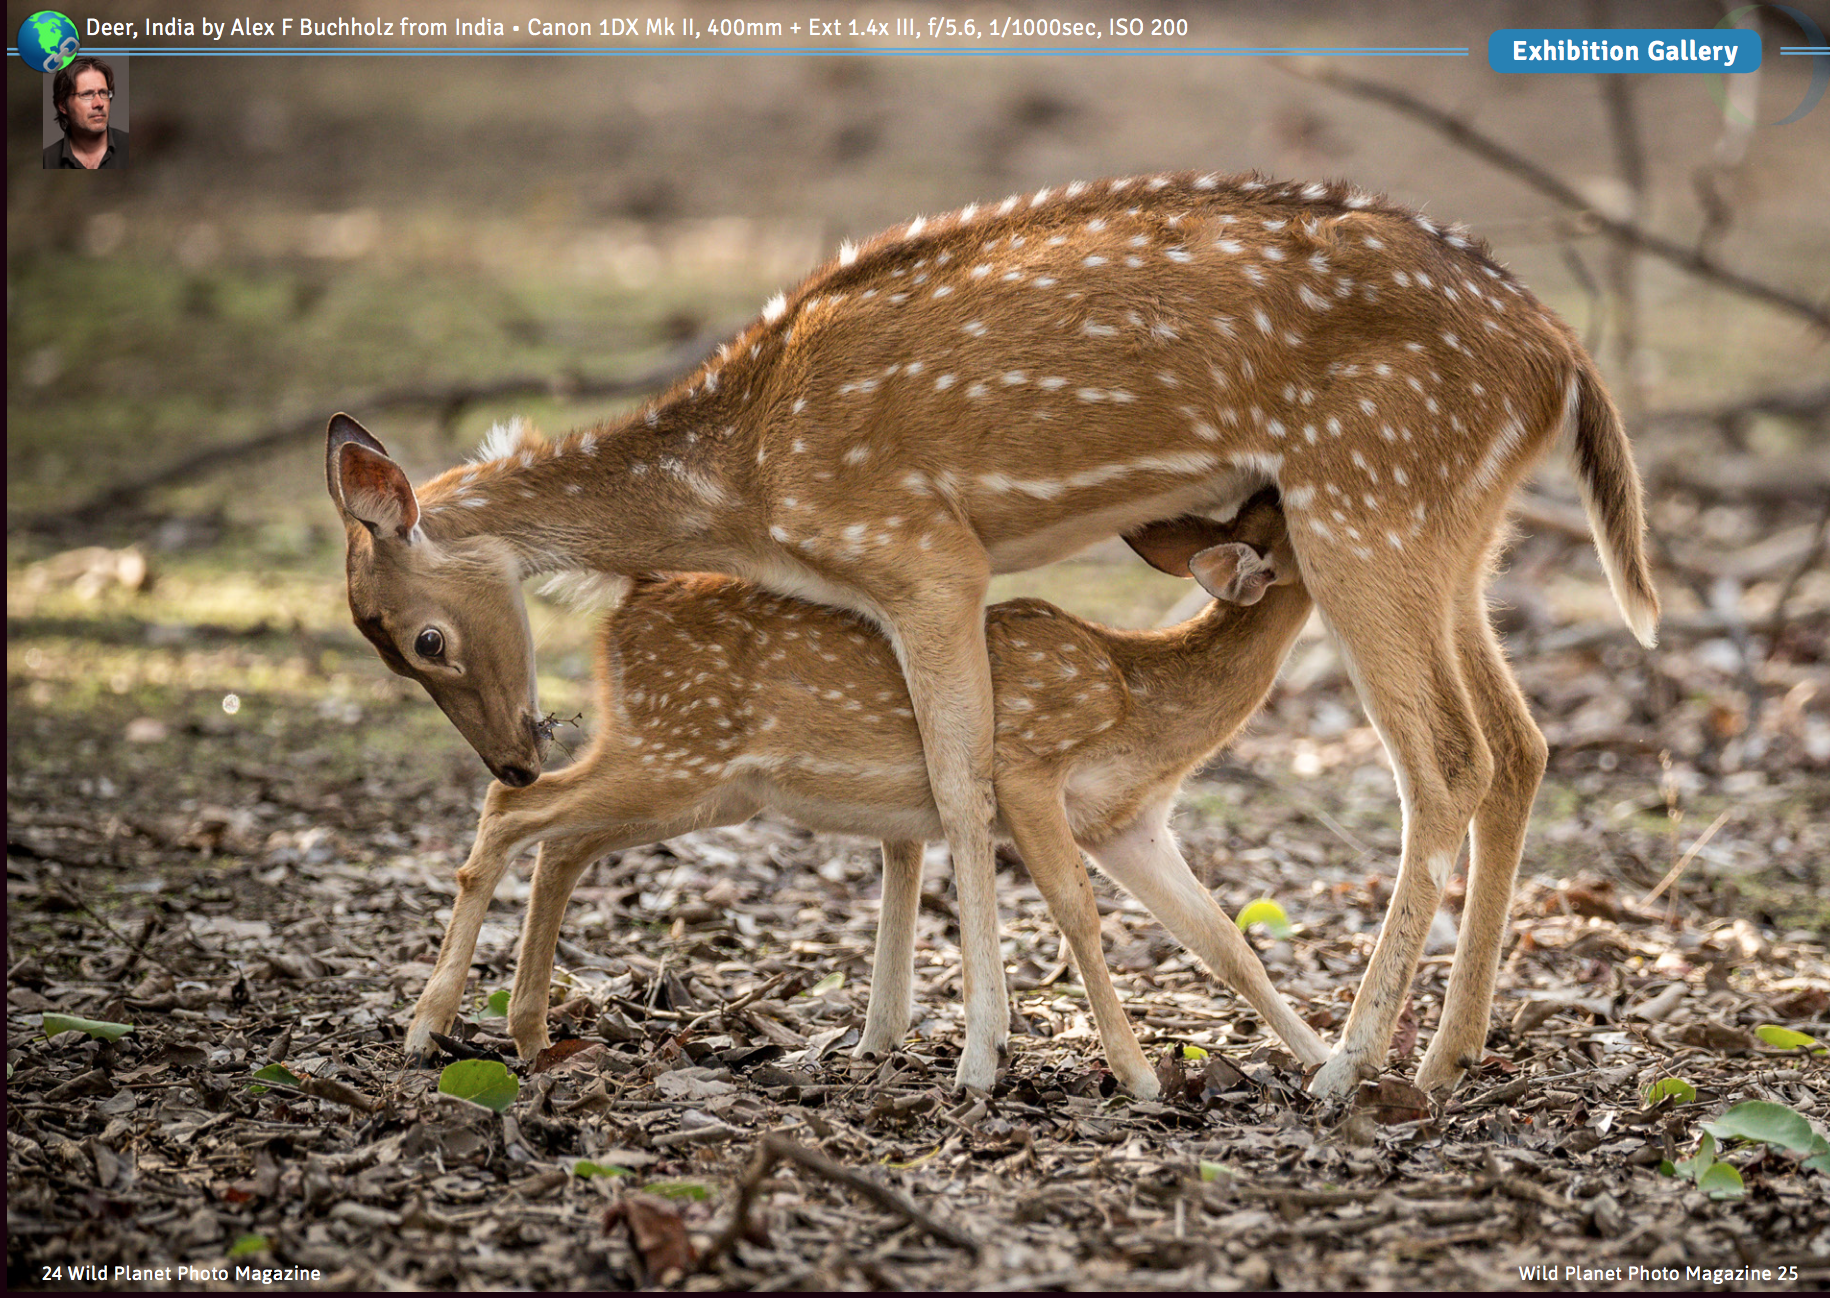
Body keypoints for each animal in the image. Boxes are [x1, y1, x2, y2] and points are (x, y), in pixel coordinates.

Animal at [400, 487, 1328, 1097]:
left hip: (697, 779)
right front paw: (1138, 1075)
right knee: (512, 807)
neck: (1144, 703)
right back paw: (427, 1026)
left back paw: (529, 1031)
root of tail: (632, 602)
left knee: (559, 841)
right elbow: (1078, 912)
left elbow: (1226, 941)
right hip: (676, 750)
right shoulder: (1029, 767)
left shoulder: (1128, 824)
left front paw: (1324, 1062)